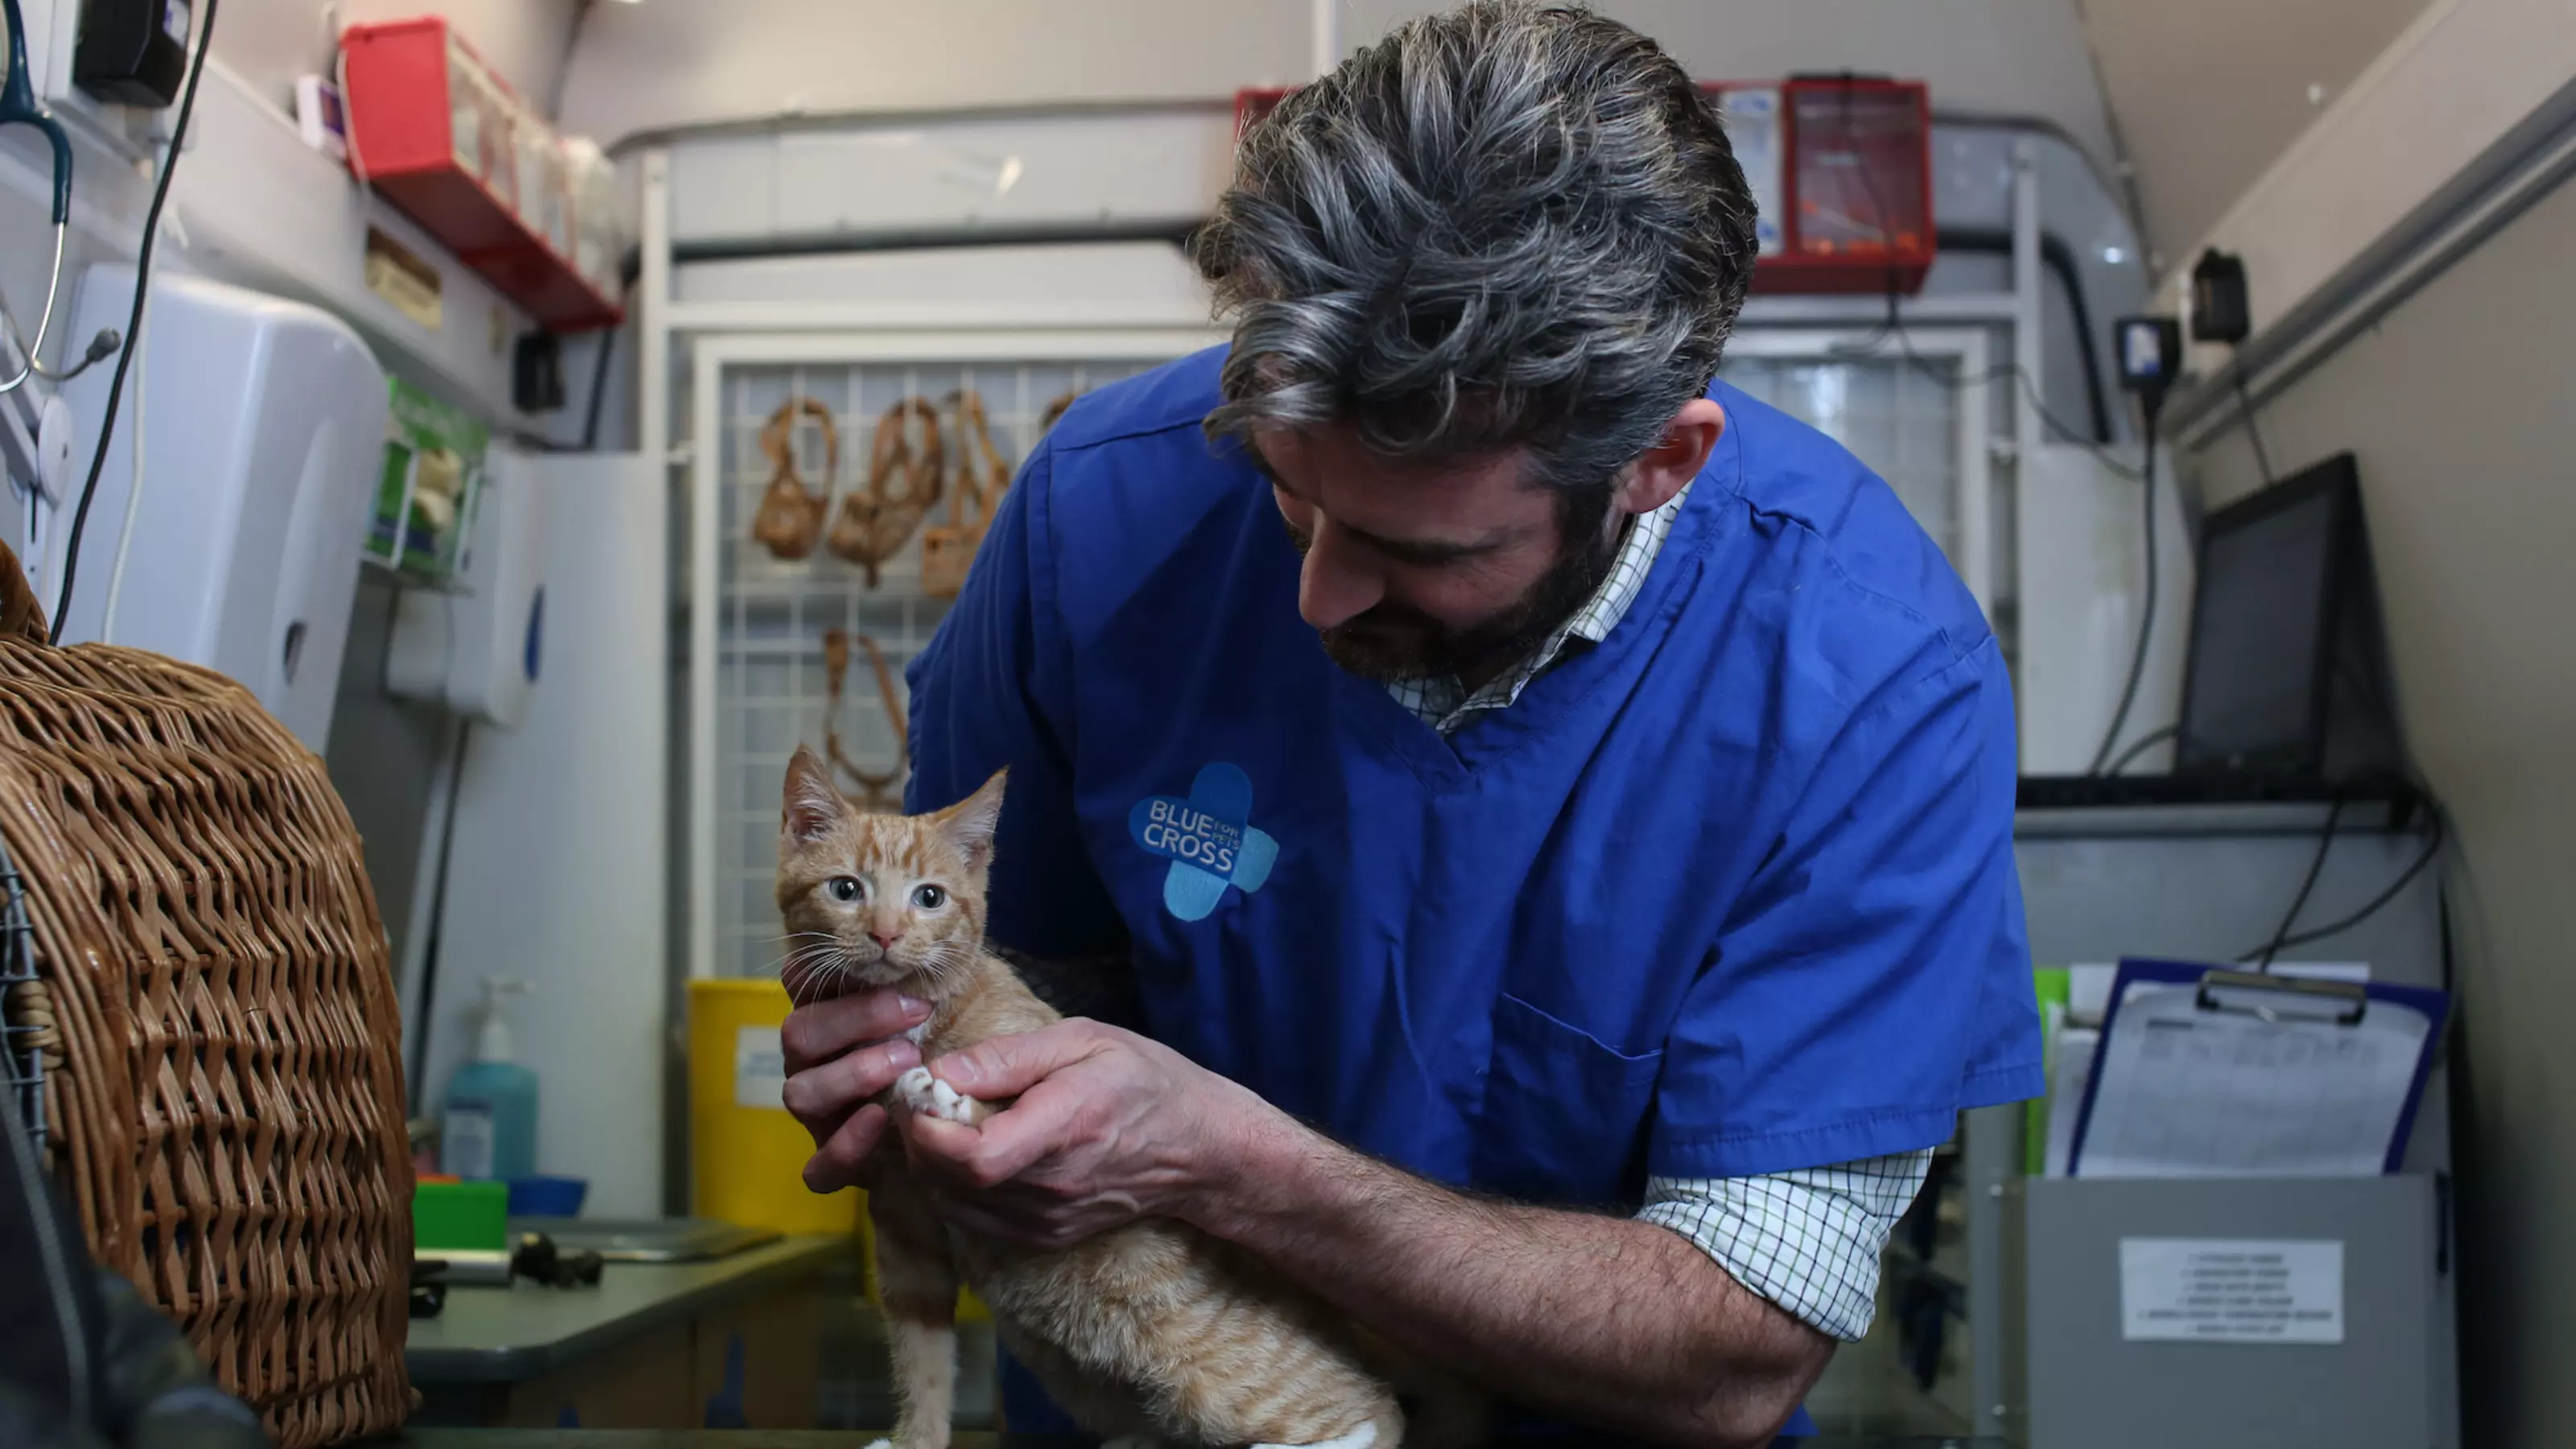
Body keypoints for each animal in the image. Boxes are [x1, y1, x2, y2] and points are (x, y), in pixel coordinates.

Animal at [778, 742, 1452, 1443]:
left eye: (929, 897)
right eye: (846, 889)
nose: (885, 934)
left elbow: (1003, 1099)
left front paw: (944, 1100)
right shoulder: (905, 1222)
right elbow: (922, 1356)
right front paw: (918, 1438)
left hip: (1214, 1366)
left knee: (1367, 1414)